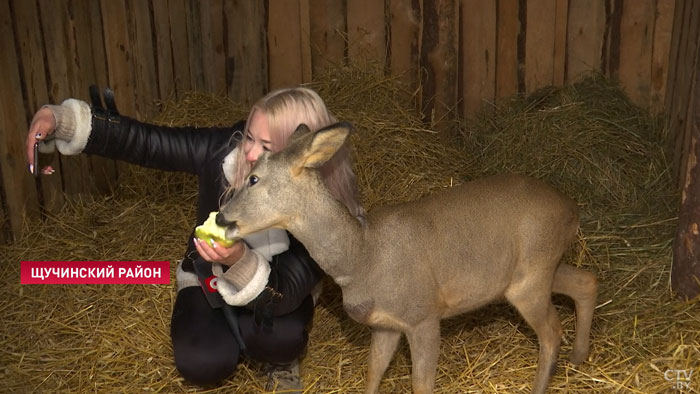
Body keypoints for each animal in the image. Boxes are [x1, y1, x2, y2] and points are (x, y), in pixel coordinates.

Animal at [217, 121, 596, 392]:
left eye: (253, 178)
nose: (221, 217)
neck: (365, 257)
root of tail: (572, 210)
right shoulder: (385, 325)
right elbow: (373, 373)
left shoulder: (423, 315)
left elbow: (421, 385)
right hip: (536, 269)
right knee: (586, 281)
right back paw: (579, 357)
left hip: (530, 276)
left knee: (552, 331)